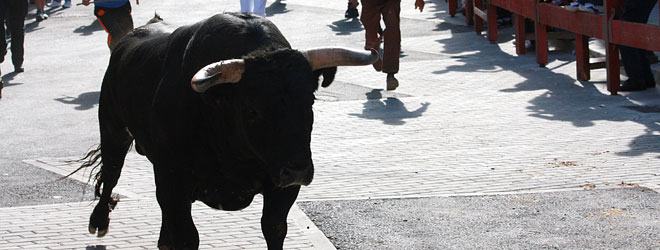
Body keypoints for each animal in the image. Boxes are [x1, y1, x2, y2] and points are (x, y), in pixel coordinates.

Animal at [75, 13, 376, 248]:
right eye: (252, 109)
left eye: (310, 101)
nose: (297, 170)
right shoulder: (173, 181)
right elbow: (186, 238)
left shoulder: (283, 189)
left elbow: (274, 228)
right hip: (113, 129)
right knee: (112, 173)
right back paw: (98, 220)